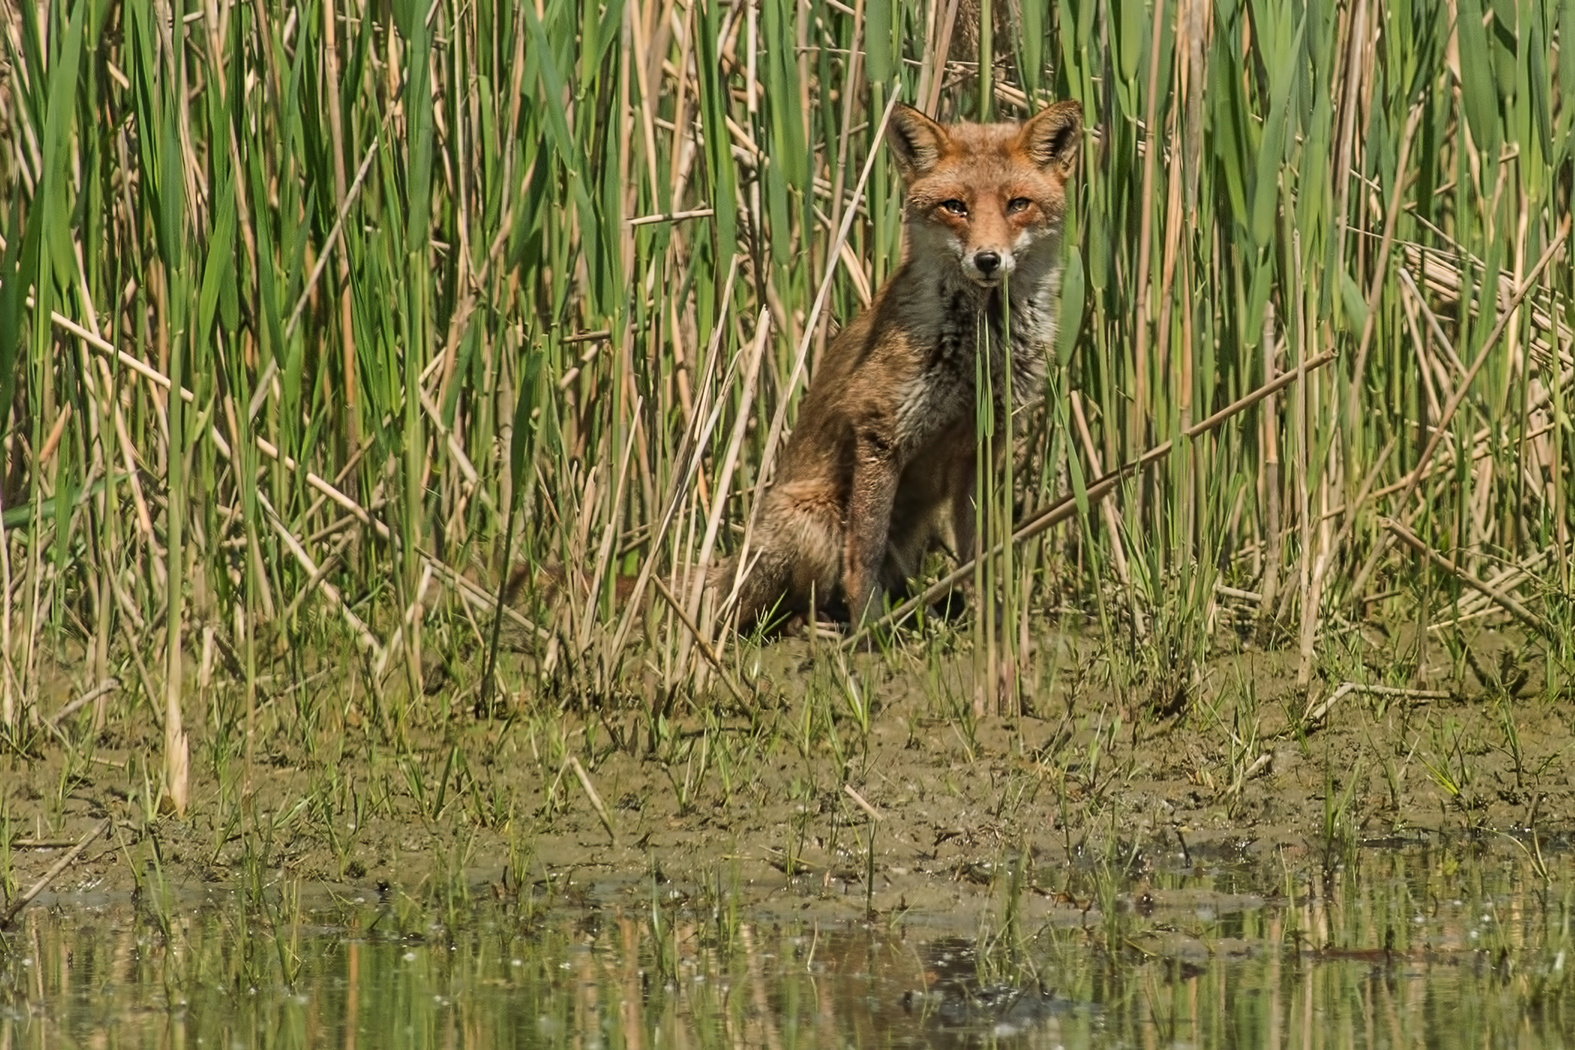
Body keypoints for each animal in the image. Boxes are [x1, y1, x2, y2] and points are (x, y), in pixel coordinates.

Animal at [716, 99, 1084, 631]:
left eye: (1018, 204)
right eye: (955, 206)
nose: (987, 259)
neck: (977, 350)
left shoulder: (982, 445)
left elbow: (979, 552)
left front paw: (992, 626)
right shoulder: (880, 434)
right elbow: (864, 553)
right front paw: (869, 633)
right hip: (815, 520)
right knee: (782, 612)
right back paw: (829, 624)